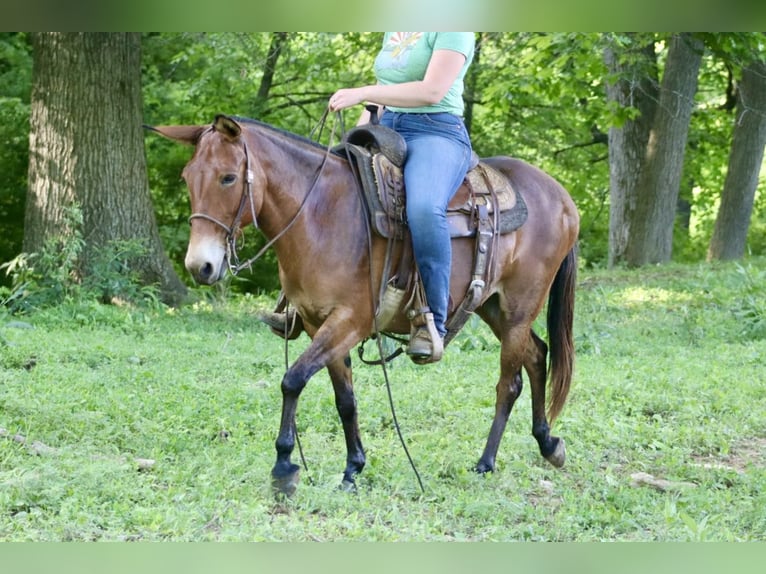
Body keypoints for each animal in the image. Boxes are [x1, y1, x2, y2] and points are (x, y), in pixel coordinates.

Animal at [148, 115, 584, 498]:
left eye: (228, 177)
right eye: (188, 178)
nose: (200, 266)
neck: (321, 215)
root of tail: (562, 197)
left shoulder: (349, 321)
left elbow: (293, 379)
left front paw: (284, 466)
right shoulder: (317, 323)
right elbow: (345, 398)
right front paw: (352, 469)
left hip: (518, 308)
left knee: (509, 383)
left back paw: (486, 462)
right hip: (491, 306)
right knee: (537, 355)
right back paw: (548, 443)